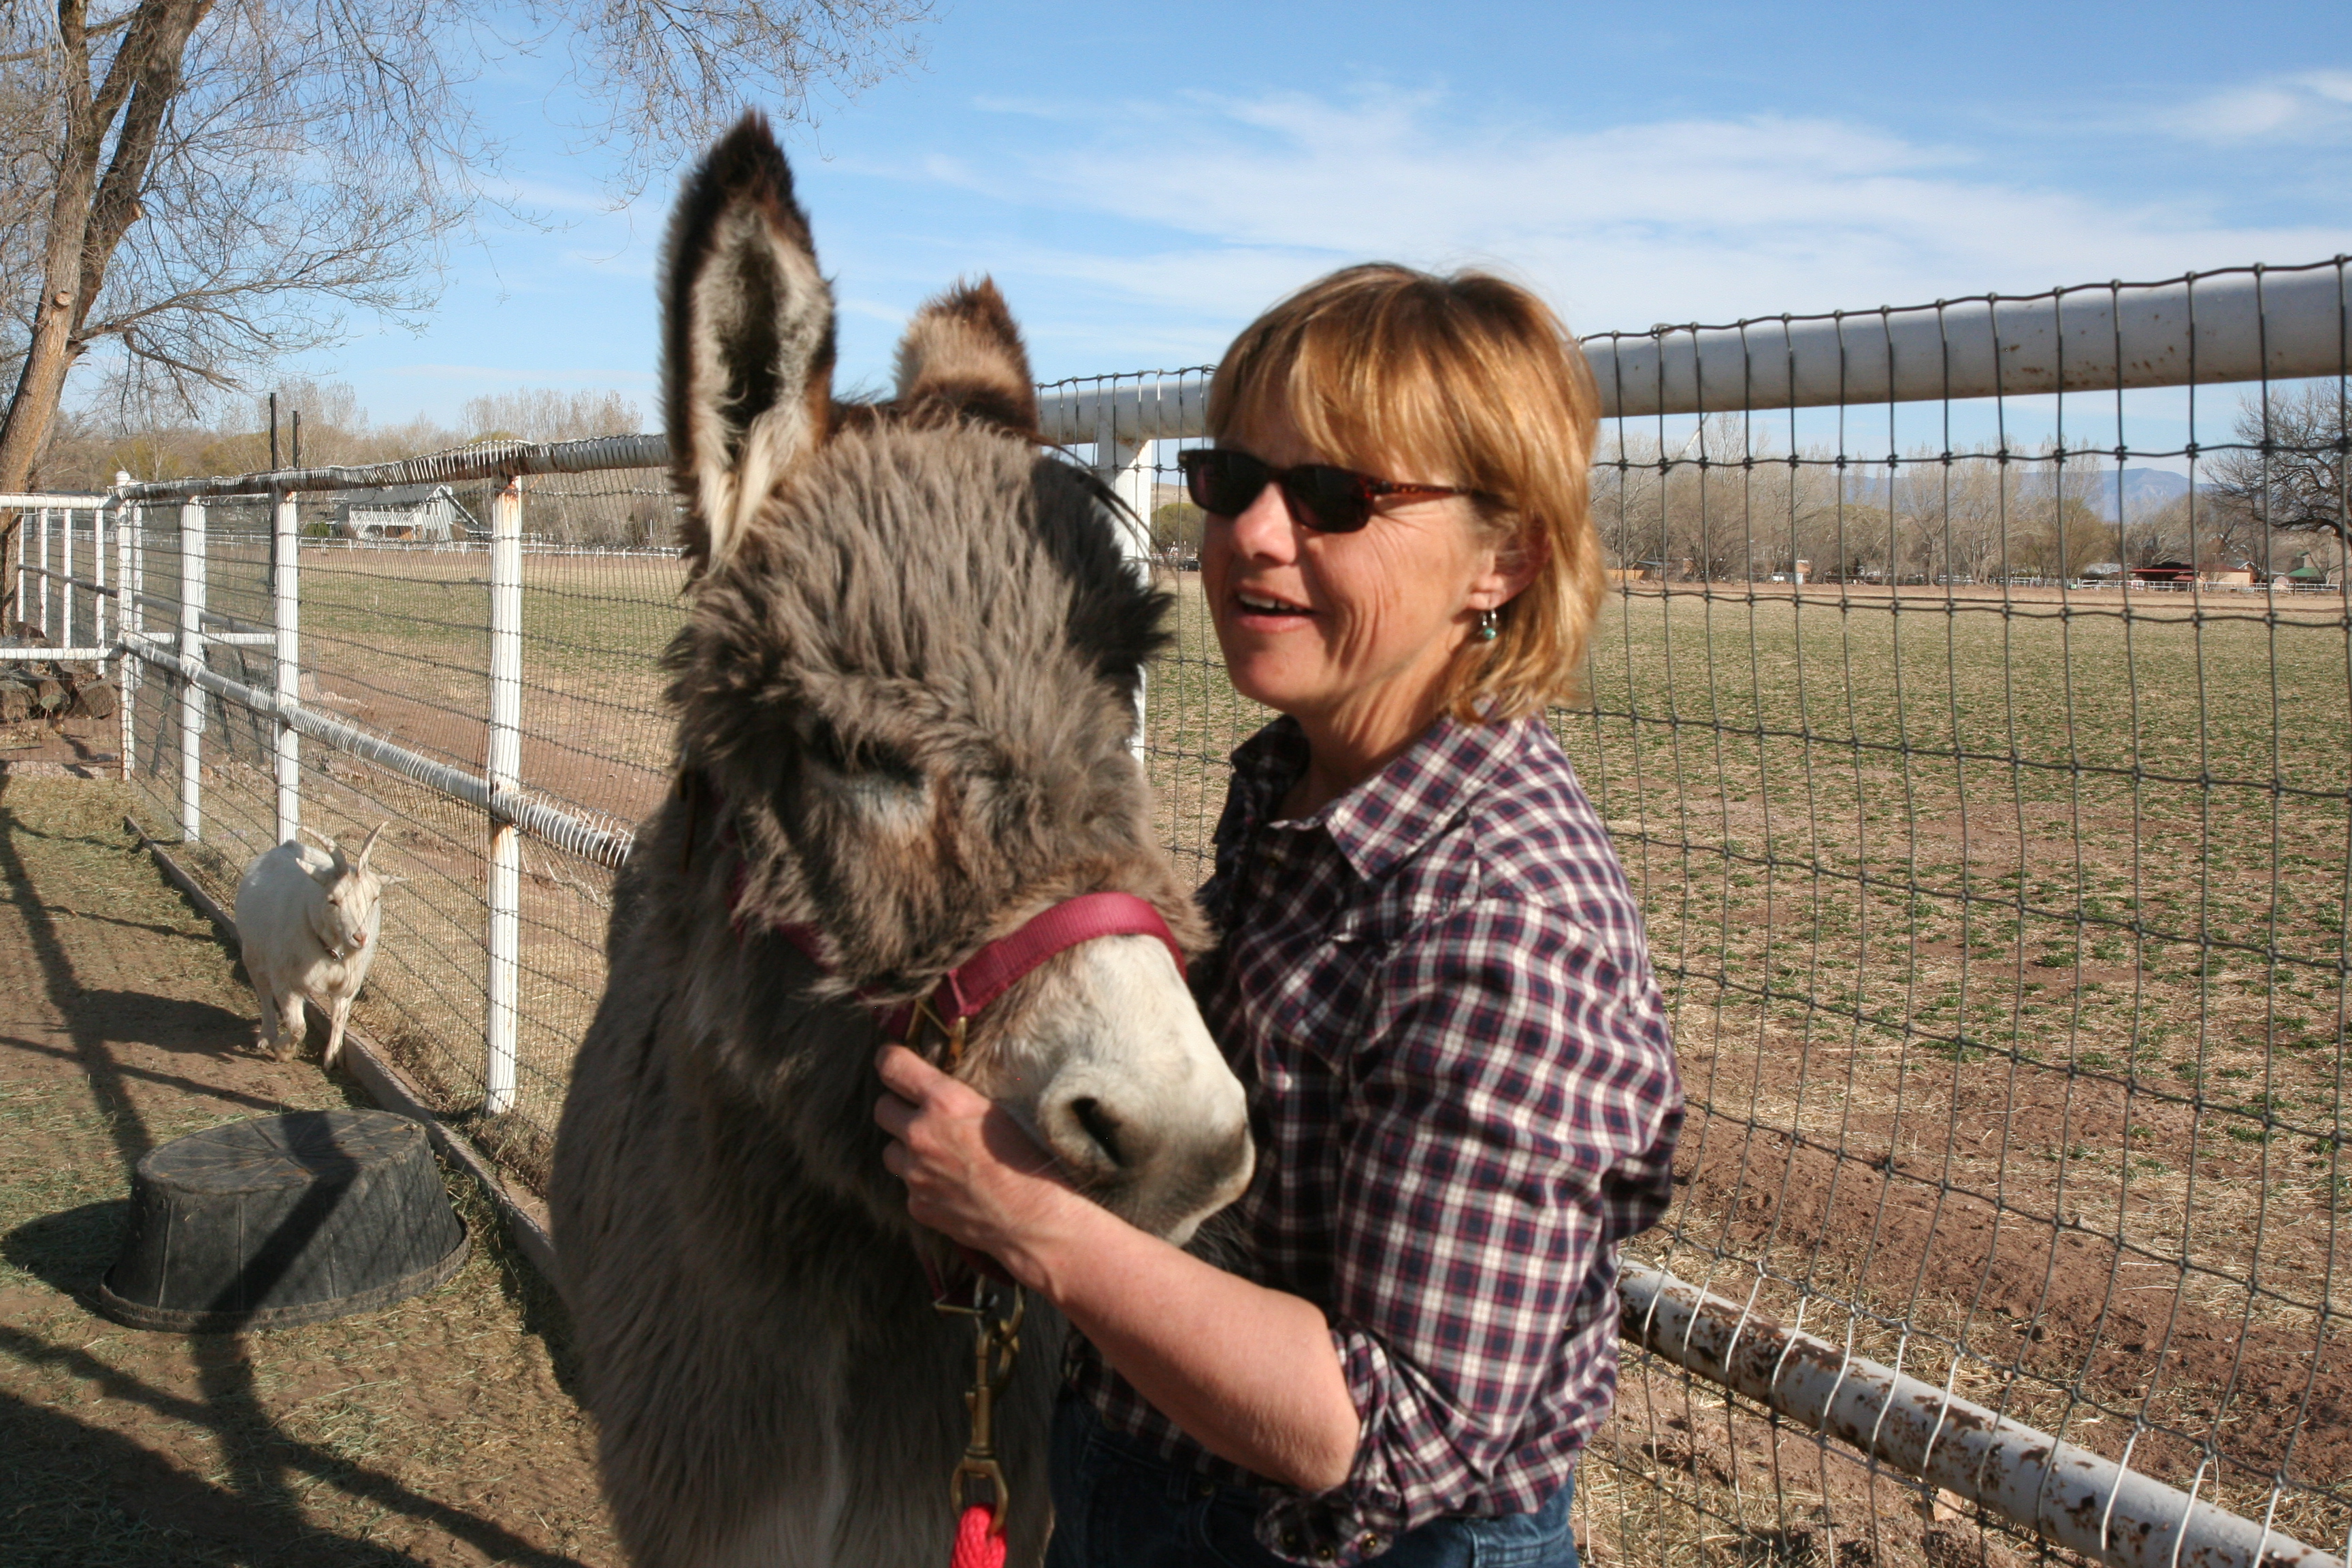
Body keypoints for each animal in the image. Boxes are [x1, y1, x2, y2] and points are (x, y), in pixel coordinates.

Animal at [233, 822, 389, 1070]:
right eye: (333, 900)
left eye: (374, 899)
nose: (360, 937)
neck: (332, 950)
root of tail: (287, 845)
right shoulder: (285, 981)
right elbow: (298, 1027)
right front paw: (283, 1051)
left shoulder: (348, 986)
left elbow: (339, 1019)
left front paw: (332, 1058)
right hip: (252, 952)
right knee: (263, 991)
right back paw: (267, 1035)